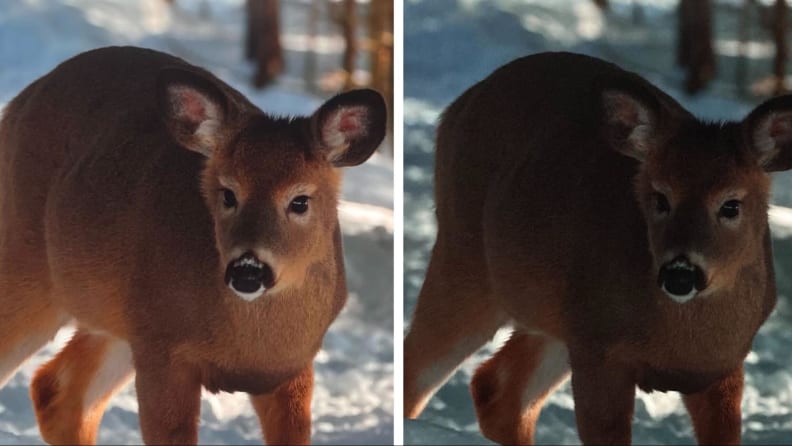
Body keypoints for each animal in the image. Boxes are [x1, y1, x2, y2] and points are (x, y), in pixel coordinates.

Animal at [0, 46, 386, 446]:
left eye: (300, 200)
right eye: (228, 193)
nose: (247, 270)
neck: (250, 348)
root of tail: (18, 102)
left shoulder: (292, 367)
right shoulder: (164, 350)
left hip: (112, 318)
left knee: (57, 393)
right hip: (28, 262)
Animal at [406, 51, 788, 442]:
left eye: (731, 205)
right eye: (660, 197)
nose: (680, 275)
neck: (682, 343)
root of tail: (457, 107)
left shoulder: (723, 367)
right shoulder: (599, 351)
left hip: (549, 316)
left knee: (497, 388)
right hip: (466, 258)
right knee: (419, 368)